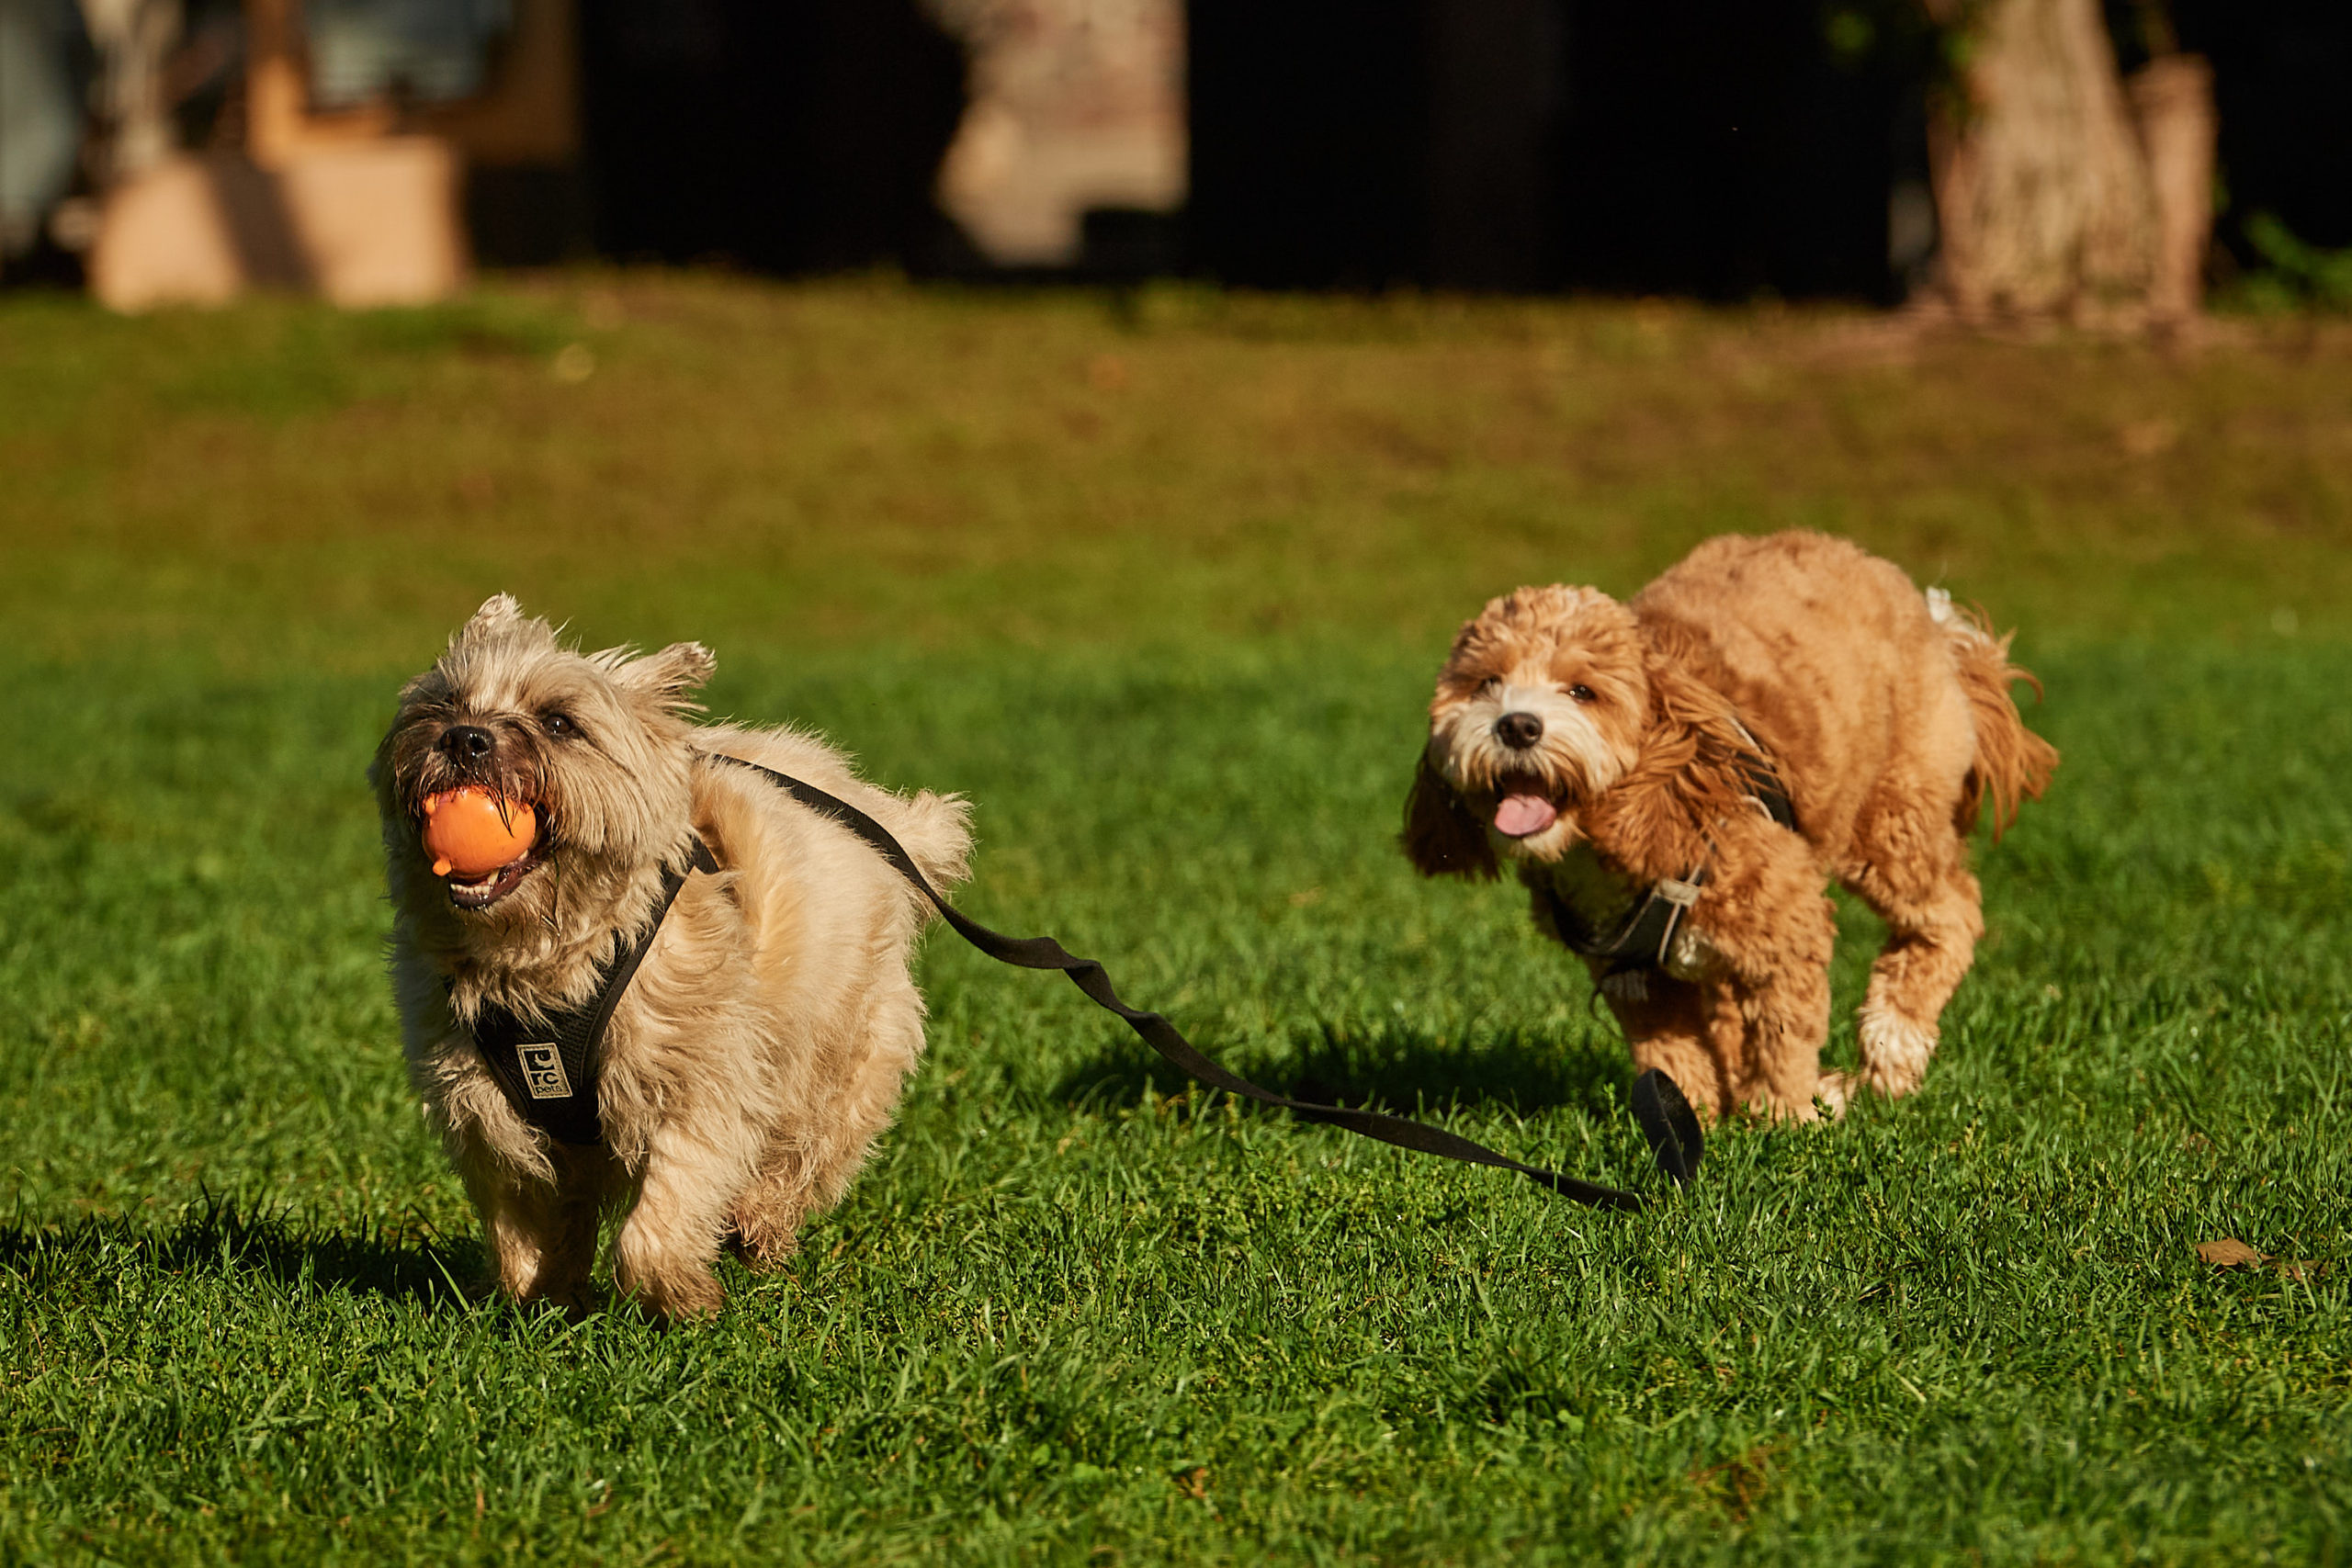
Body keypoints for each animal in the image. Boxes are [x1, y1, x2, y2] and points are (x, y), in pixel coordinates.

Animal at [376, 602, 973, 1325]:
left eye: (559, 721)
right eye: (445, 702)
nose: (465, 738)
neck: (548, 962)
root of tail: (879, 815)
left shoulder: (696, 1078)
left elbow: (658, 1223)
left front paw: (679, 1298)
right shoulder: (486, 1112)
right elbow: (526, 1225)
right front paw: (546, 1301)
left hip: (840, 1043)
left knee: (810, 1144)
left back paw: (760, 1222)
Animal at [1401, 533, 2051, 1123]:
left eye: (1582, 691)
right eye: (1486, 683)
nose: (1517, 726)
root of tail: (1930, 617)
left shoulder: (1786, 929)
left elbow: (1784, 1036)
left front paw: (1784, 1116)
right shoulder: (1637, 982)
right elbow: (1672, 1055)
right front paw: (1689, 1118)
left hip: (1892, 818)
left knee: (1948, 914)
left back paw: (1891, 1047)